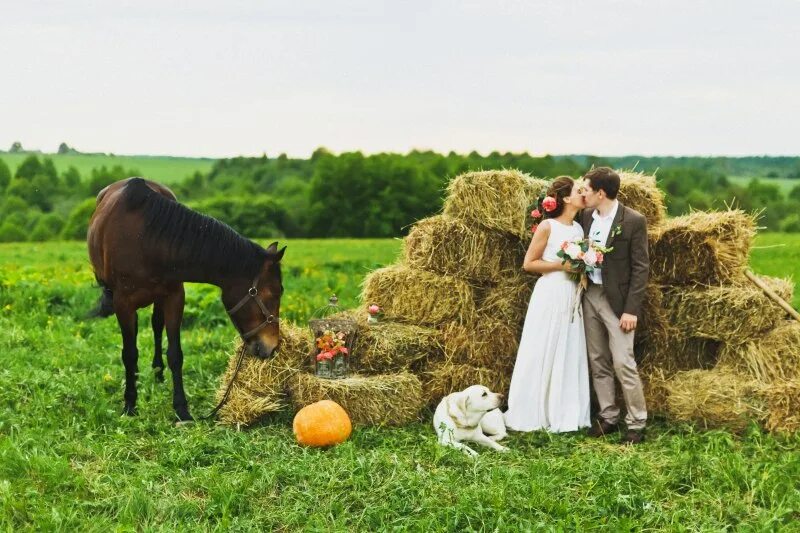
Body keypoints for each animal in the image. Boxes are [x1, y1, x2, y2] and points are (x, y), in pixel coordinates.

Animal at [86, 177, 284, 422]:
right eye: (273, 293)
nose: (273, 346)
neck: (148, 241)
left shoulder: (174, 298)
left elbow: (175, 354)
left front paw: (182, 409)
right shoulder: (123, 304)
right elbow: (129, 354)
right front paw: (130, 404)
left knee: (156, 325)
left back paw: (157, 372)